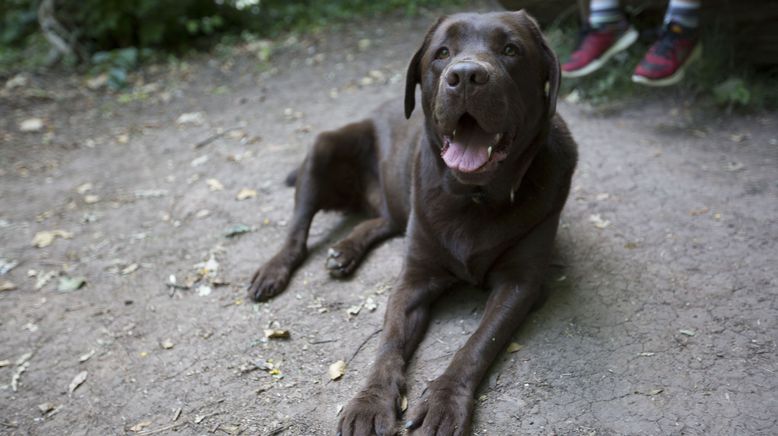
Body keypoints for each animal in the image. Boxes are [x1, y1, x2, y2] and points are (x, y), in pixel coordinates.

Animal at [247, 10, 576, 436]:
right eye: (442, 53)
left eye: (510, 49)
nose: (466, 75)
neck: (474, 197)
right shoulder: (414, 279)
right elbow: (388, 343)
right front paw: (369, 402)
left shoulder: (521, 284)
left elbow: (478, 343)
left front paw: (444, 400)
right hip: (323, 147)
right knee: (298, 228)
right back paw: (275, 269)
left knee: (384, 220)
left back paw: (345, 250)